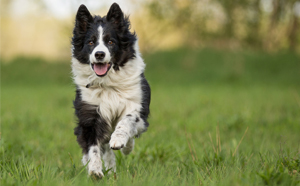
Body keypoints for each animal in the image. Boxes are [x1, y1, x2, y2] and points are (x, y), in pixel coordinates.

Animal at [69, 2, 150, 177]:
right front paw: (94, 170)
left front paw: (119, 140)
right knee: (105, 149)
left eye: (111, 42)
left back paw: (125, 147)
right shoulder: (90, 115)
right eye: (91, 42)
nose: (99, 54)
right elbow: (93, 147)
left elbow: (127, 120)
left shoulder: (138, 107)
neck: (107, 83)